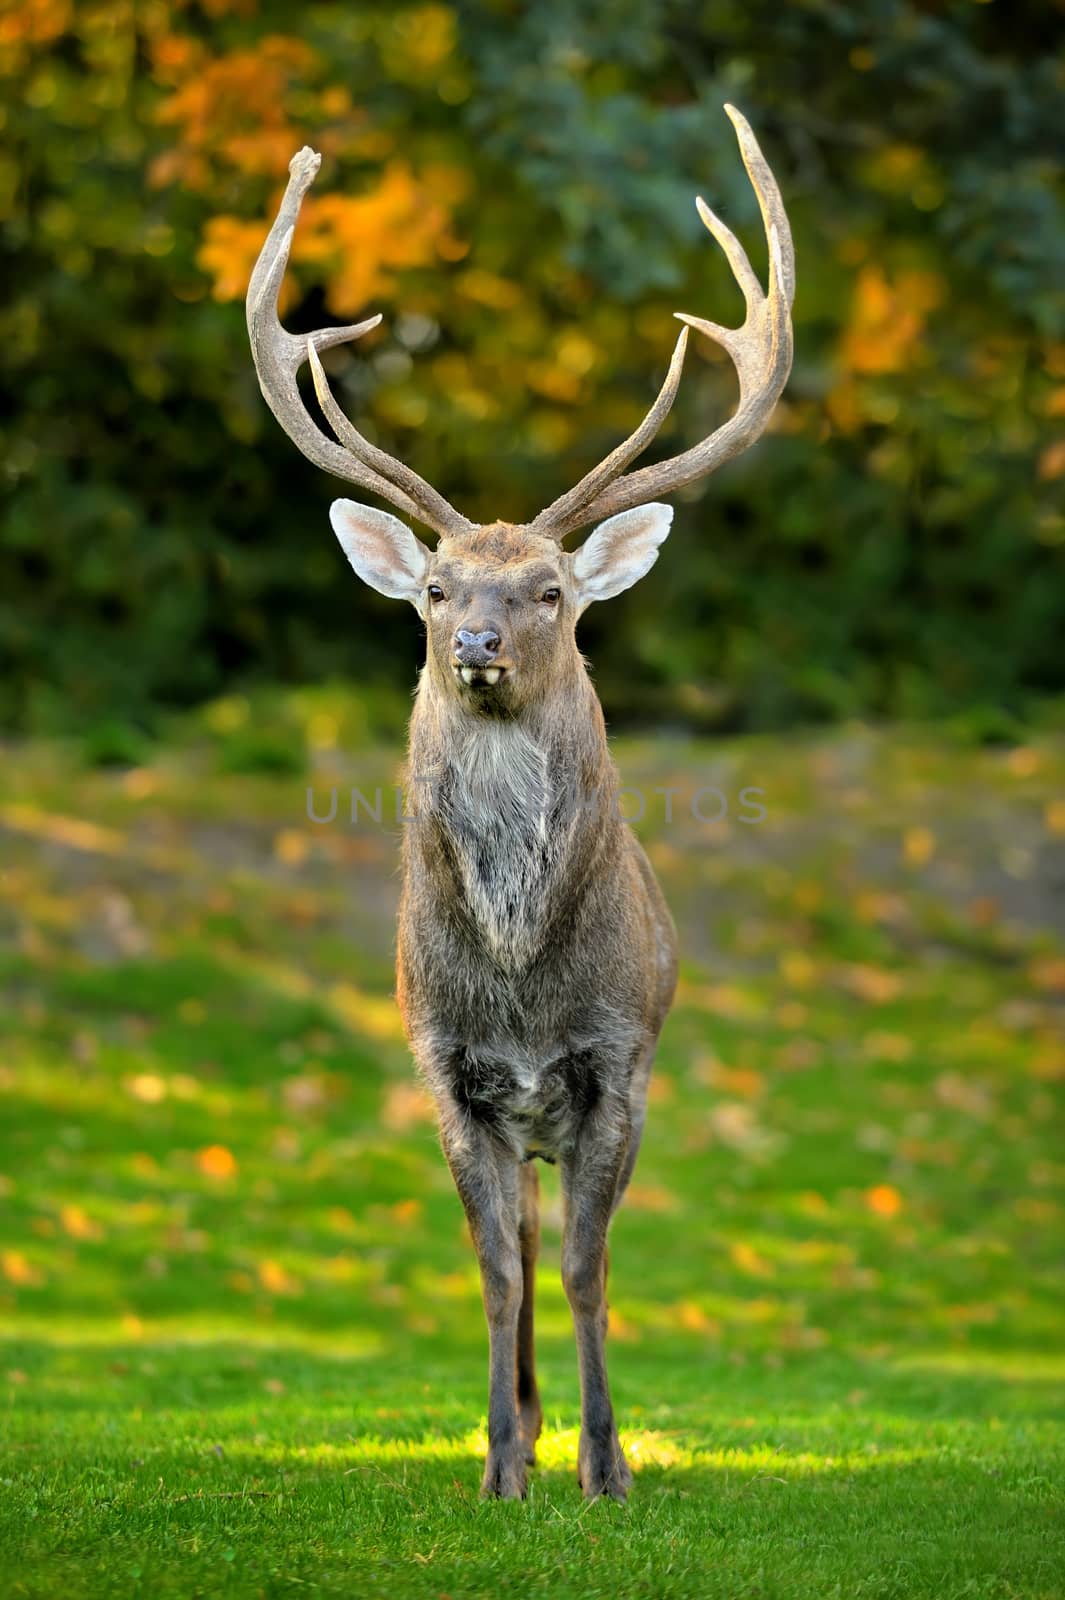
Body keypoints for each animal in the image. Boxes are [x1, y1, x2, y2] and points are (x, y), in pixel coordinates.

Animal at [246, 103, 786, 1497]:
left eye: (549, 589)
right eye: (436, 589)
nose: (478, 641)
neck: (523, 983)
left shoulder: (619, 1060)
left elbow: (594, 1269)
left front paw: (607, 1468)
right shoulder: (445, 1066)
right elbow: (497, 1270)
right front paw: (500, 1466)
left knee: (565, 1246)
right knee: (529, 1242)